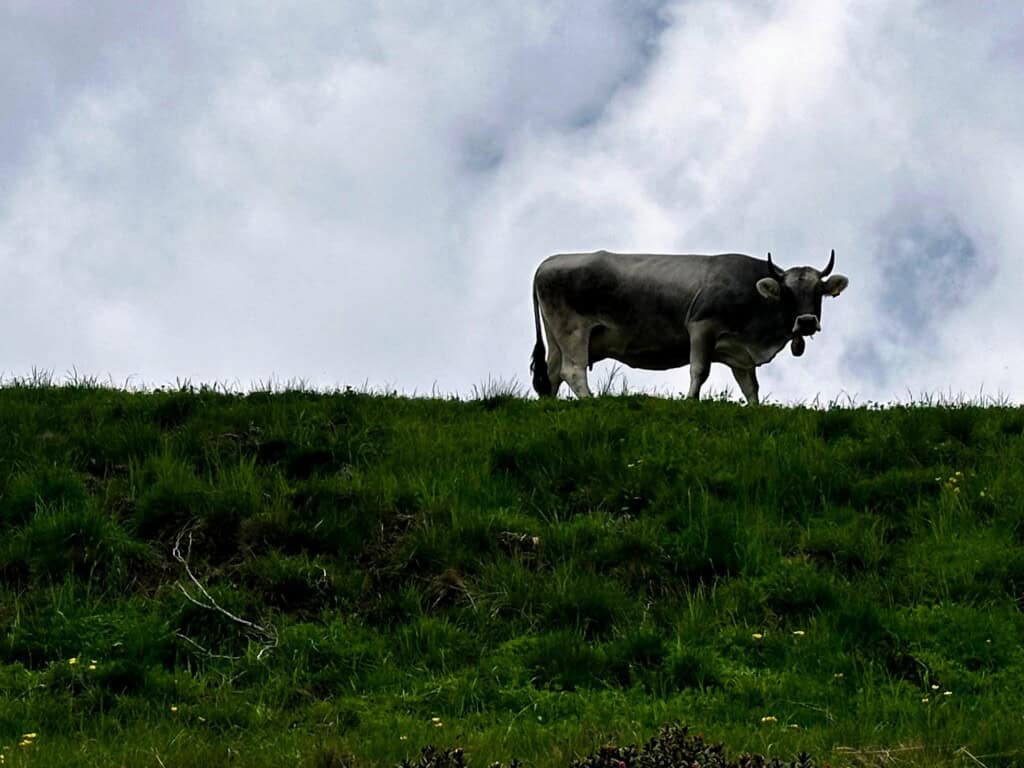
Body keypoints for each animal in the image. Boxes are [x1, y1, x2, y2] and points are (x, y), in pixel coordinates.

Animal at [530, 250, 848, 403]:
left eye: (818, 292)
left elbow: (751, 388)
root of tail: (548, 262)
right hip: (573, 330)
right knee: (573, 371)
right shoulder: (701, 326)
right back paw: (590, 401)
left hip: (557, 338)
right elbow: (699, 370)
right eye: (787, 293)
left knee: (553, 374)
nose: (806, 322)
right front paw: (692, 401)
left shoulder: (741, 354)